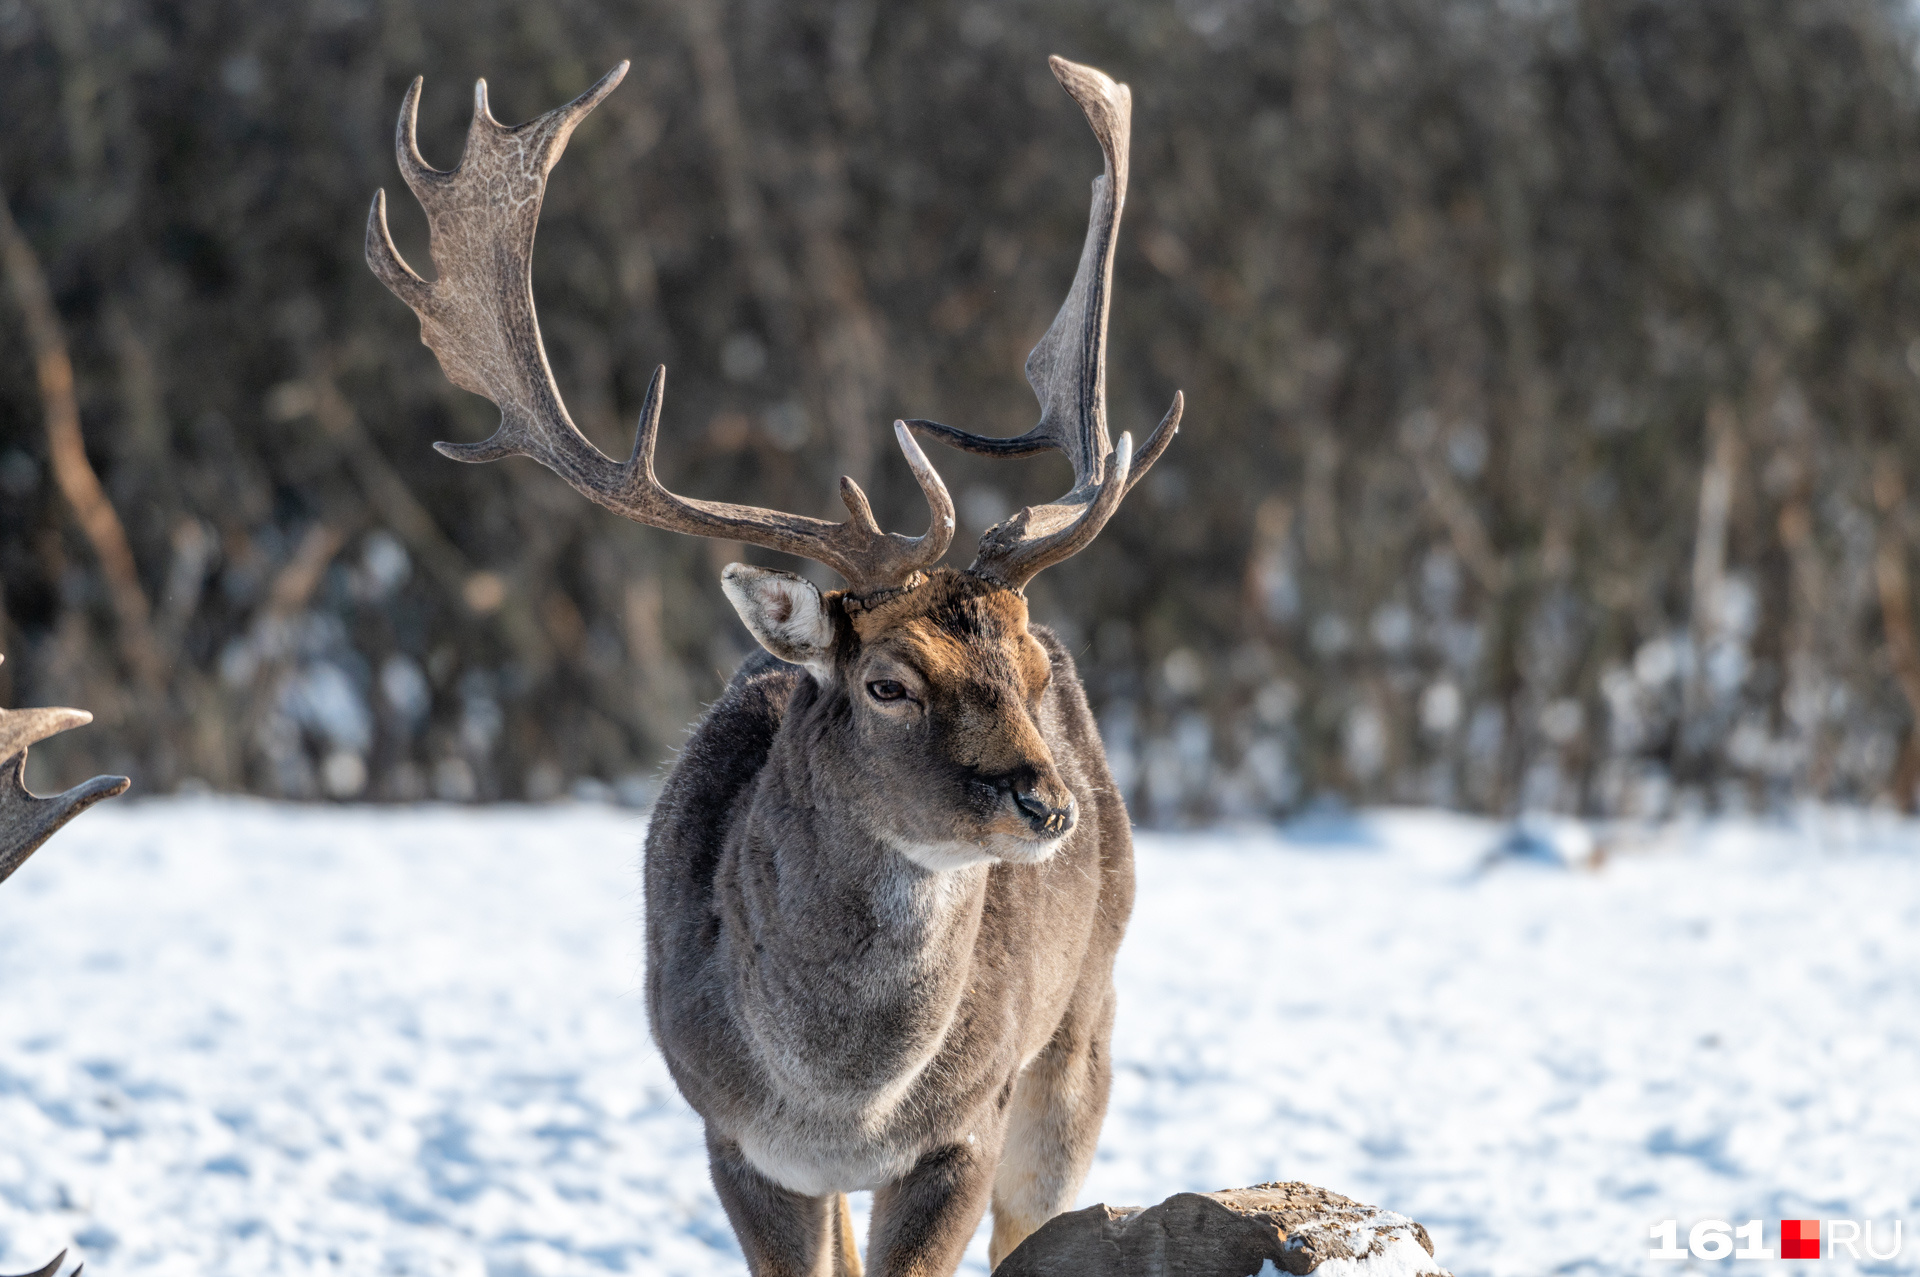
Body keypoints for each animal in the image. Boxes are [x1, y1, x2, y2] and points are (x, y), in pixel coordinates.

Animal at [366, 52, 1175, 1275]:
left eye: (1031, 673)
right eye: (889, 682)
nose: (1044, 803)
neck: (840, 1096)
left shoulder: (965, 1132)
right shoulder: (734, 1136)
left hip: (1086, 1024)